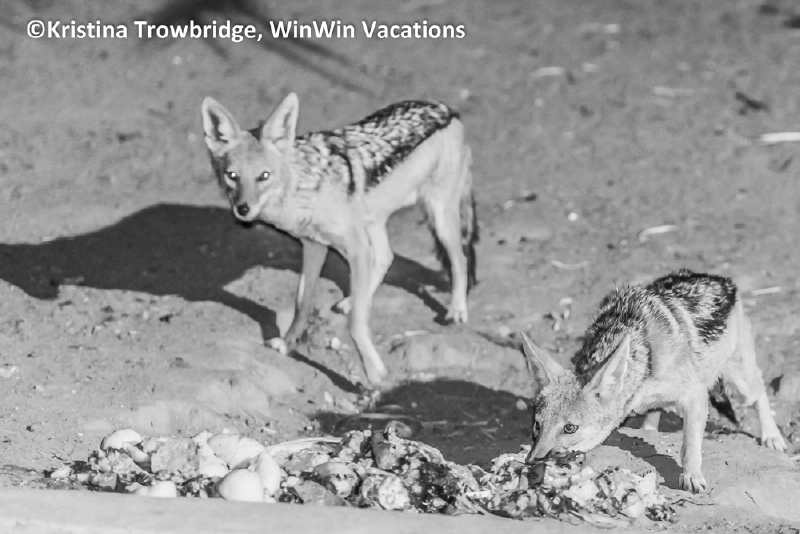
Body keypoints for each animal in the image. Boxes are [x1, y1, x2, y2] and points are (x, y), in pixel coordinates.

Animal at [201, 93, 477, 387]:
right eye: (232, 176)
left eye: (264, 176)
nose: (242, 210)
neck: (304, 188)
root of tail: (446, 109)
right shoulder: (314, 247)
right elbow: (302, 305)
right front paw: (288, 344)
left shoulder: (354, 249)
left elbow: (356, 324)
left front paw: (374, 373)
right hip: (374, 225)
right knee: (385, 257)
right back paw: (353, 299)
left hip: (438, 219)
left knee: (459, 260)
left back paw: (457, 311)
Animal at [520, 270, 787, 493]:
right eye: (537, 425)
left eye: (569, 428)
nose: (531, 463)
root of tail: (722, 280)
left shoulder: (695, 394)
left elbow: (690, 445)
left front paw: (691, 475)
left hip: (740, 387)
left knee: (761, 391)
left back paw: (772, 436)